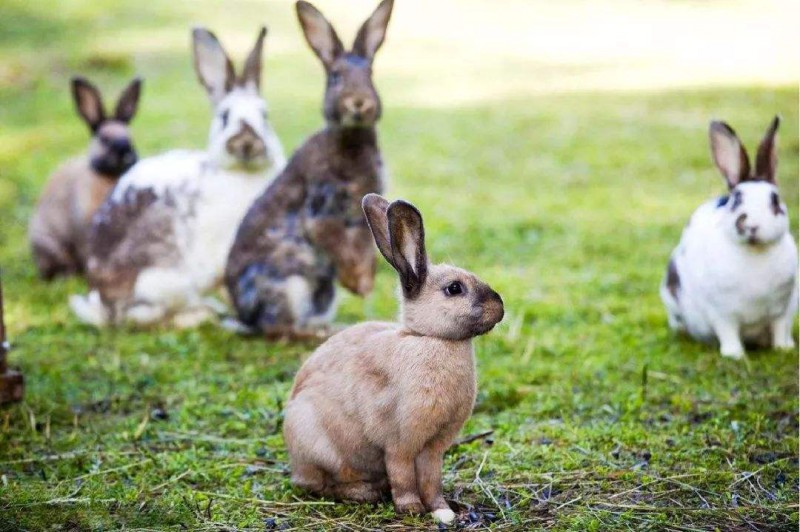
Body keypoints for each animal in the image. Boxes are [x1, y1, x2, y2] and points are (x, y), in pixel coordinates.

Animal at [70, 26, 286, 328]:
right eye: (224, 117)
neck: (242, 174)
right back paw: (200, 314)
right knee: (142, 317)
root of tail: (102, 305)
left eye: (265, 116)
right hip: (161, 283)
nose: (246, 143)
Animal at [223, 0, 392, 336]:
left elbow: (365, 250)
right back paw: (318, 333)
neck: (352, 140)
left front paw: (364, 285)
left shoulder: (363, 219)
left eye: (370, 73)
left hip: (321, 294)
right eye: (336, 76)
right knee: (280, 330)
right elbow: (335, 243)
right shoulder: (322, 212)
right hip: (289, 286)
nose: (359, 103)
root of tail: (245, 317)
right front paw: (358, 285)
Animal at [284, 194, 504, 524]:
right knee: (322, 484)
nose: (500, 307)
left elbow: (431, 479)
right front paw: (411, 508)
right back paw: (365, 492)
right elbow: (403, 477)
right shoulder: (399, 442)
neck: (429, 339)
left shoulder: (434, 447)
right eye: (454, 289)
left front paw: (442, 510)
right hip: (318, 446)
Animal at [660, 115, 796, 358]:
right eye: (736, 200)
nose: (752, 225)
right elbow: (728, 332)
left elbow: (781, 329)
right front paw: (735, 355)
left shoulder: (783, 310)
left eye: (775, 200)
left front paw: (784, 348)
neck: (755, 251)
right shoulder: (721, 313)